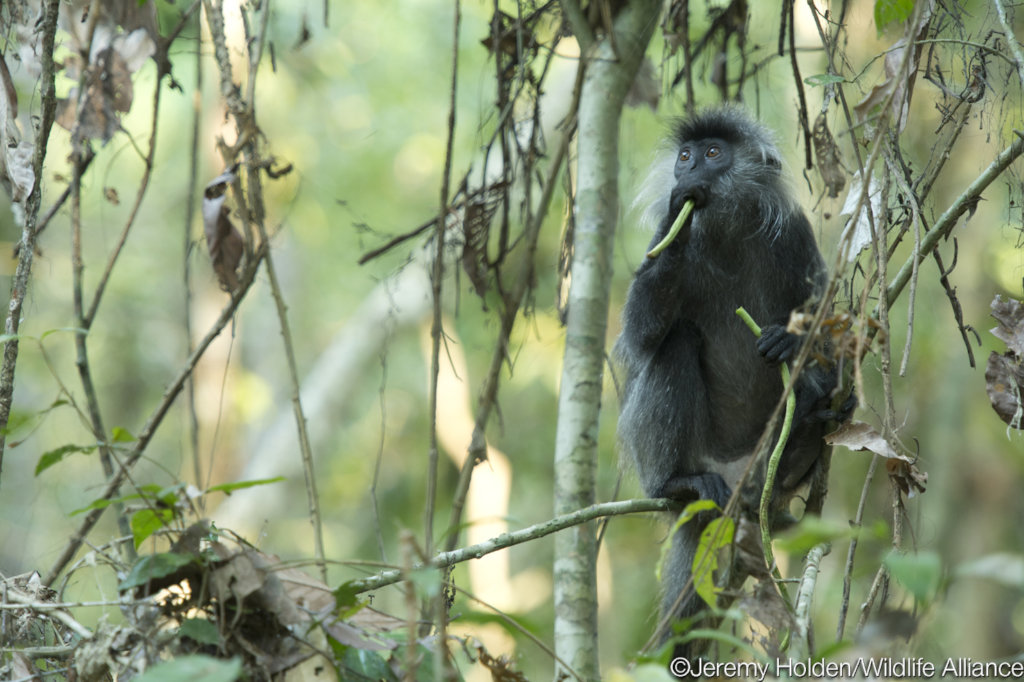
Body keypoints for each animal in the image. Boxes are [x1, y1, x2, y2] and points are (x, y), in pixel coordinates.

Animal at [610, 104, 835, 655]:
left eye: (714, 153)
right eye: (686, 156)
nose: (688, 172)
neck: (725, 231)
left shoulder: (795, 233)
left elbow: (829, 325)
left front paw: (789, 344)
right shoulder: (660, 245)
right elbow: (641, 337)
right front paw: (678, 212)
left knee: (821, 394)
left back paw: (810, 417)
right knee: (676, 340)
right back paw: (679, 483)